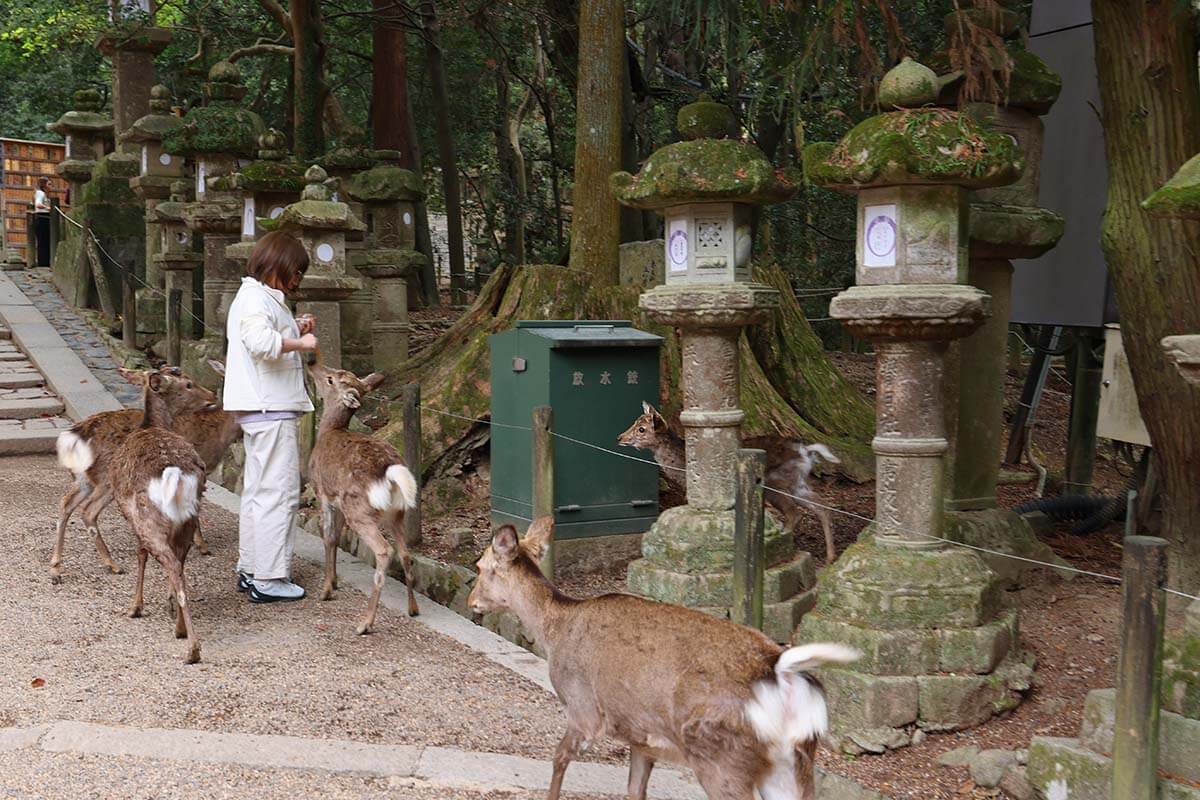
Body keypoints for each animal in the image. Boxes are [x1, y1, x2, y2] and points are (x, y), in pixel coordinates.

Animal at [52, 361, 242, 582]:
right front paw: (202, 545)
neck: (220, 435)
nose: (212, 395)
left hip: (83, 479)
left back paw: (56, 569)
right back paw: (113, 565)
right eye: (188, 384)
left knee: (66, 503)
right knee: (88, 510)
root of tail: (76, 436)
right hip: (107, 479)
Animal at [109, 367, 218, 664]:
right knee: (179, 564)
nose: (213, 394)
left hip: (149, 519)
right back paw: (181, 628)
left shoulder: (130, 516)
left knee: (169, 563)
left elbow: (140, 555)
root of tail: (174, 473)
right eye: (189, 384)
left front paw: (134, 607)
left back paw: (191, 647)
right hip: (189, 517)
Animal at [308, 363, 420, 634]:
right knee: (406, 554)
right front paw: (334, 581)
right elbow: (337, 538)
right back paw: (413, 609)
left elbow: (328, 537)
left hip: (359, 511)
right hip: (396, 512)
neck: (328, 431)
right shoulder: (337, 502)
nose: (312, 363)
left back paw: (365, 623)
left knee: (385, 551)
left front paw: (326, 590)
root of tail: (391, 472)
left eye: (330, 379)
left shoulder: (323, 493)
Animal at [468, 517, 859, 800]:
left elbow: (559, 757)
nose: (471, 601)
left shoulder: (584, 709)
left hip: (721, 756)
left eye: (480, 565)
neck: (556, 629)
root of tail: (780, 671)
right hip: (794, 763)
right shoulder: (642, 735)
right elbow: (634, 790)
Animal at [618, 402, 842, 564]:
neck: (682, 469)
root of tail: (806, 452)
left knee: (794, 513)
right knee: (822, 505)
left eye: (641, 429)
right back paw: (831, 556)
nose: (620, 437)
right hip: (797, 483)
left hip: (775, 484)